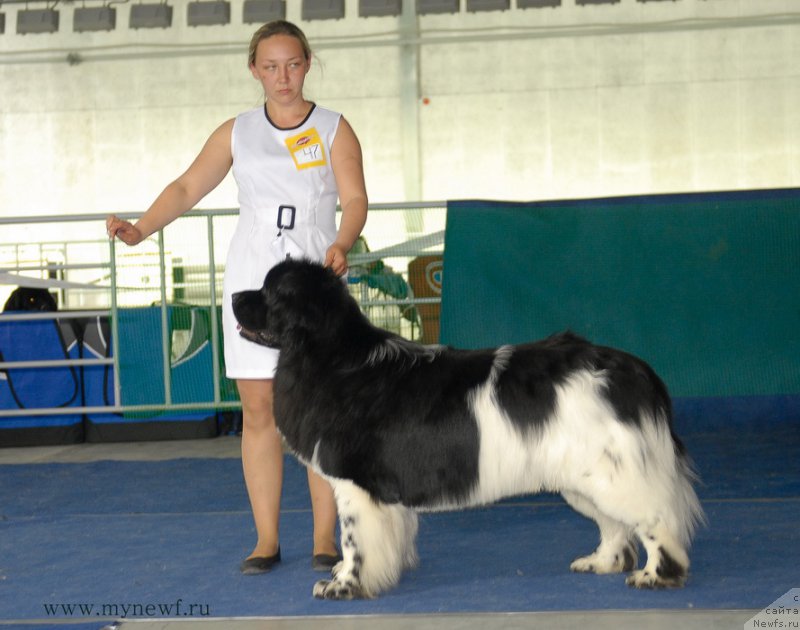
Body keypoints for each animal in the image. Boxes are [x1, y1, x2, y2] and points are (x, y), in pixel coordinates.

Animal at [230, 258, 700, 604]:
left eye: (270, 292)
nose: (232, 295)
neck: (331, 357)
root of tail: (631, 371)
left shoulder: (356, 485)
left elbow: (353, 540)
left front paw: (344, 586)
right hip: (584, 476)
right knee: (614, 526)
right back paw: (600, 562)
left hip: (612, 473)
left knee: (656, 519)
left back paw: (656, 576)